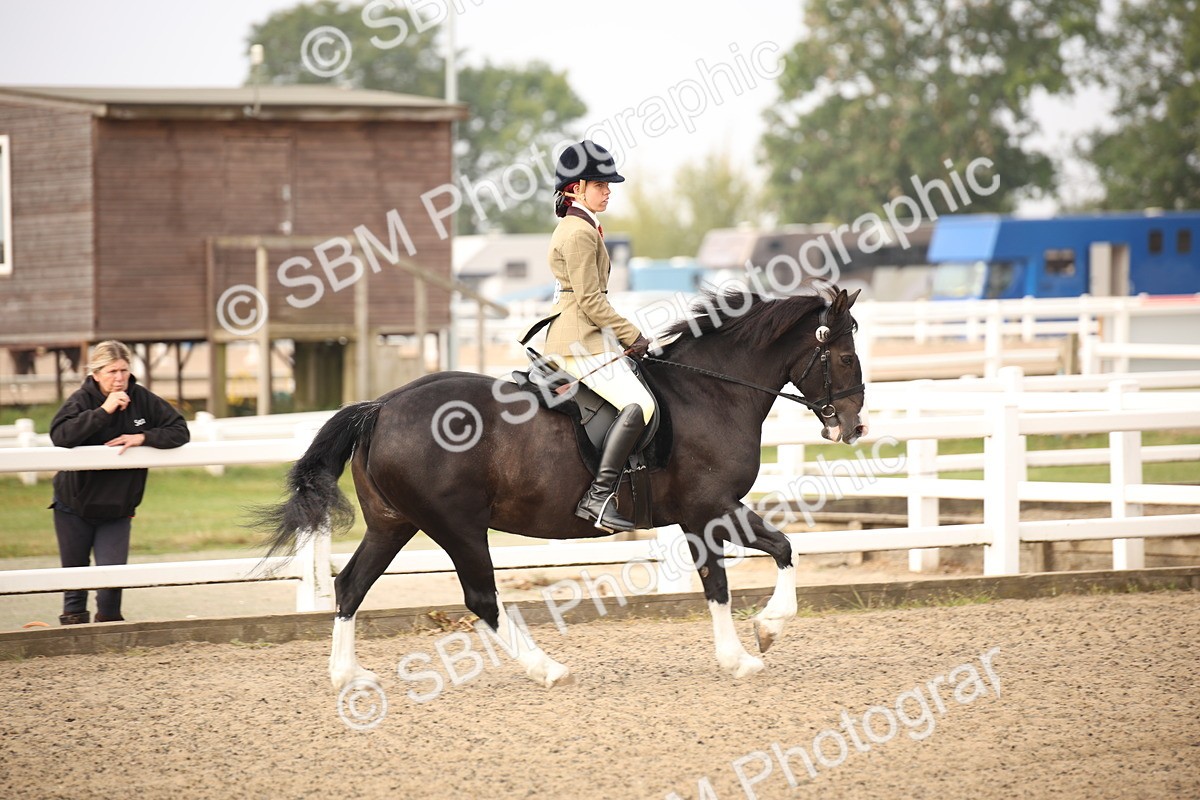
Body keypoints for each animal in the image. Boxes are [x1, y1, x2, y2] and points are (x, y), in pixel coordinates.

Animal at [257, 286, 867, 692]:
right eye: (843, 357)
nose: (853, 427)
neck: (711, 393)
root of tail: (380, 406)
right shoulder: (707, 509)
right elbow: (732, 575)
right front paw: (749, 648)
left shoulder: (708, 513)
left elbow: (775, 553)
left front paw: (758, 637)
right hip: (457, 526)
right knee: (480, 598)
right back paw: (547, 668)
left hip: (394, 523)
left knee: (351, 586)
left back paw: (348, 675)